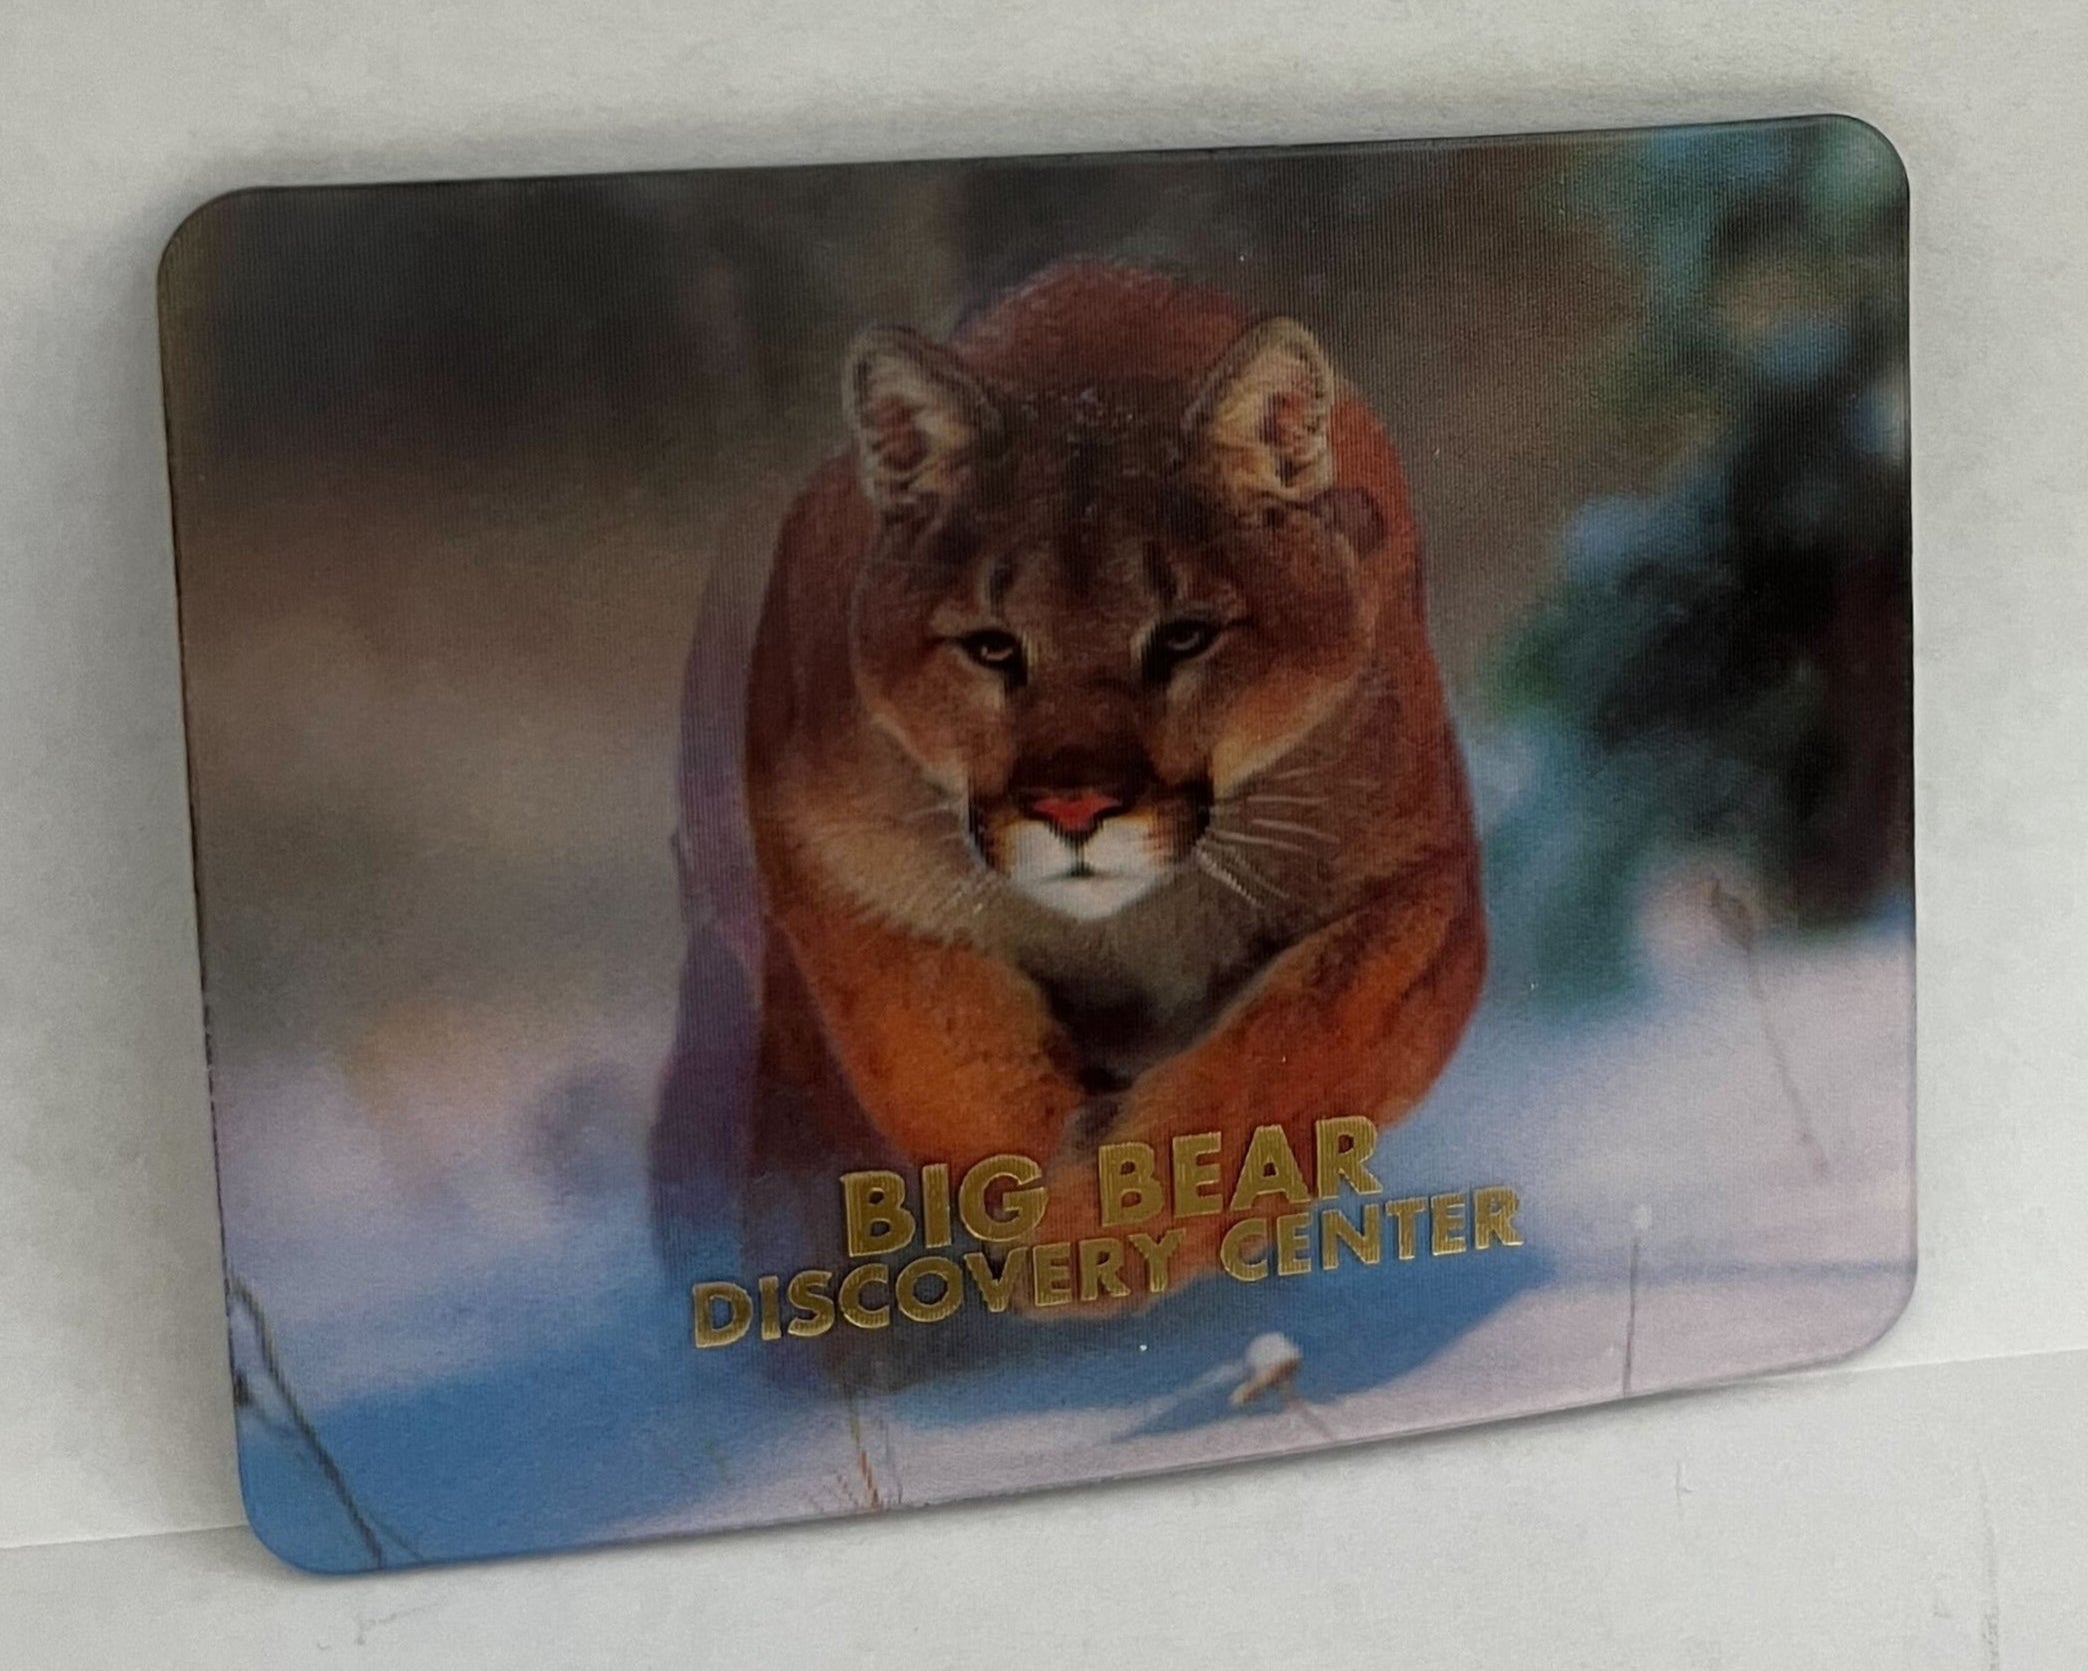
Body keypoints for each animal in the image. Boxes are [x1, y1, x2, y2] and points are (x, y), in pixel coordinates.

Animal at [654, 260, 1485, 1328]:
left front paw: (1112, 1228)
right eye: (993, 646)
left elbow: (1292, 1055)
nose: (1075, 812)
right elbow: (944, 1066)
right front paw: (1057, 1227)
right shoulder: (832, 875)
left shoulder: (1422, 879)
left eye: (1183, 635)